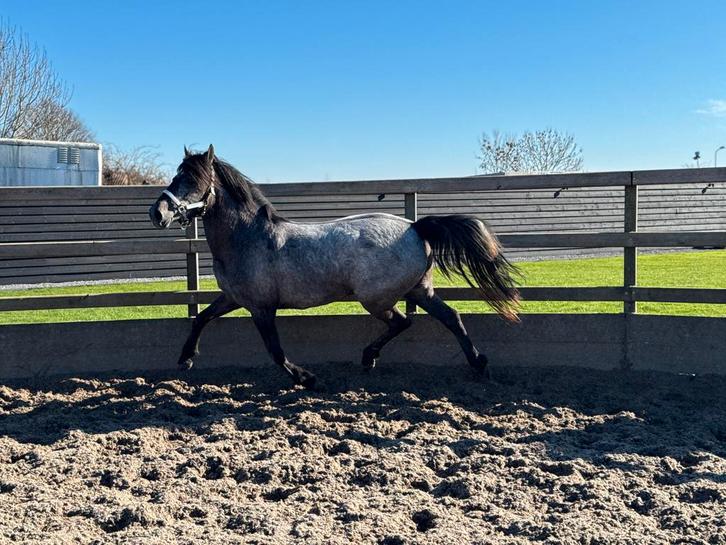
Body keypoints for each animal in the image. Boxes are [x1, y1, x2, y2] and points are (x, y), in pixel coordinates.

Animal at [149, 145, 520, 388]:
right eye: (177, 176)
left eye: (194, 180)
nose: (158, 213)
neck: (248, 238)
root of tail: (415, 227)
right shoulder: (234, 298)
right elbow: (200, 318)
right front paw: (186, 359)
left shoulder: (261, 307)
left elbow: (275, 350)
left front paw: (306, 378)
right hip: (419, 291)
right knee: (450, 318)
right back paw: (478, 365)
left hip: (377, 299)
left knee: (403, 321)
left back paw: (369, 358)